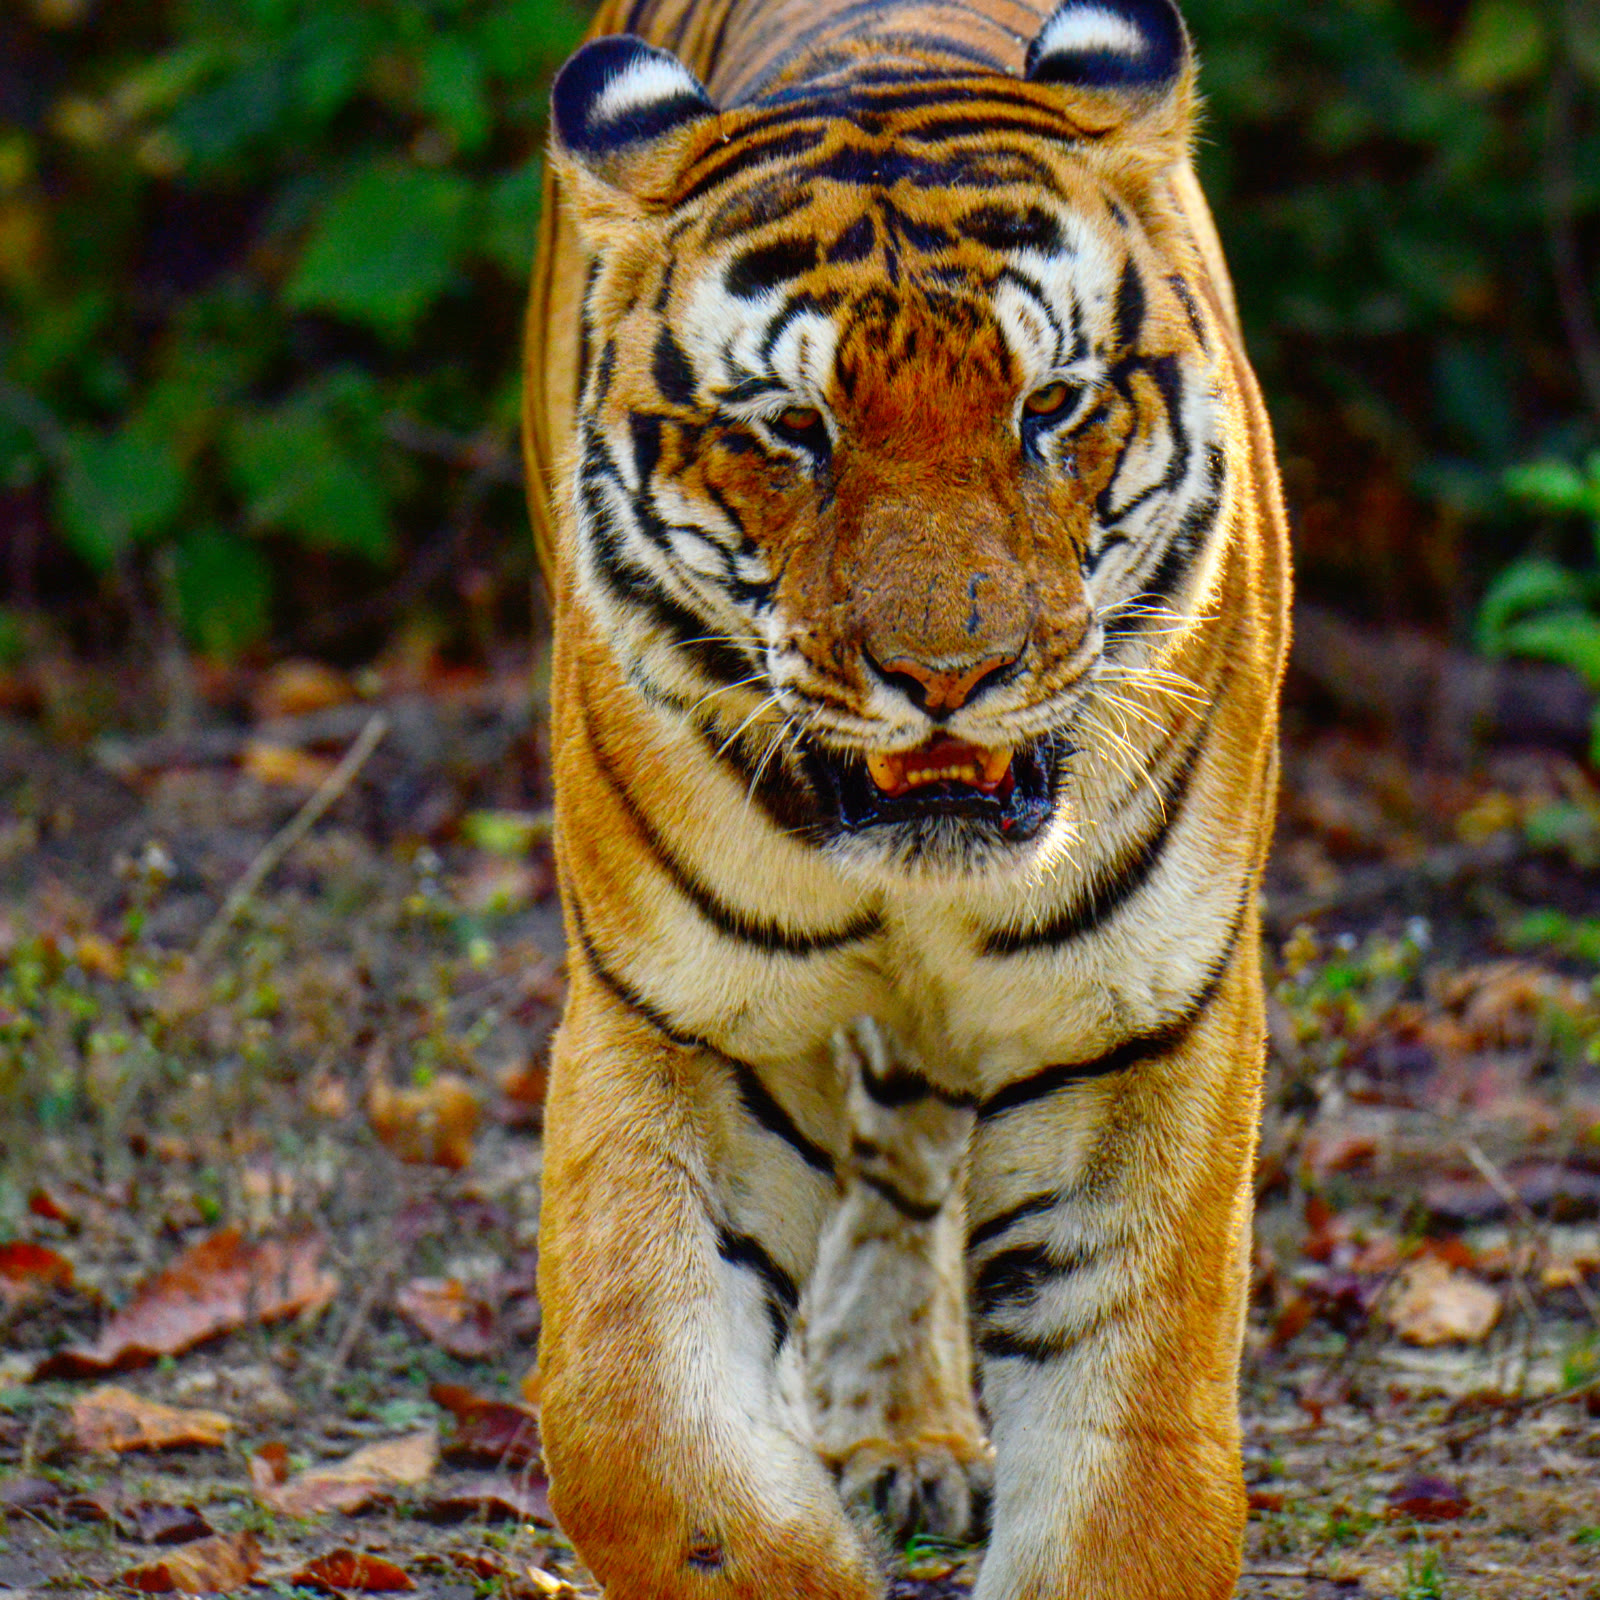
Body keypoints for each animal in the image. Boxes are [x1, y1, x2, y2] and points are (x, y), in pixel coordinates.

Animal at [520, 0, 1290, 1594]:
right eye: (792, 428)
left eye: (1049, 407)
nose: (950, 672)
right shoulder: (679, 1016)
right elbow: (635, 1424)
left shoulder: (1144, 1019)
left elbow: (1132, 1461)